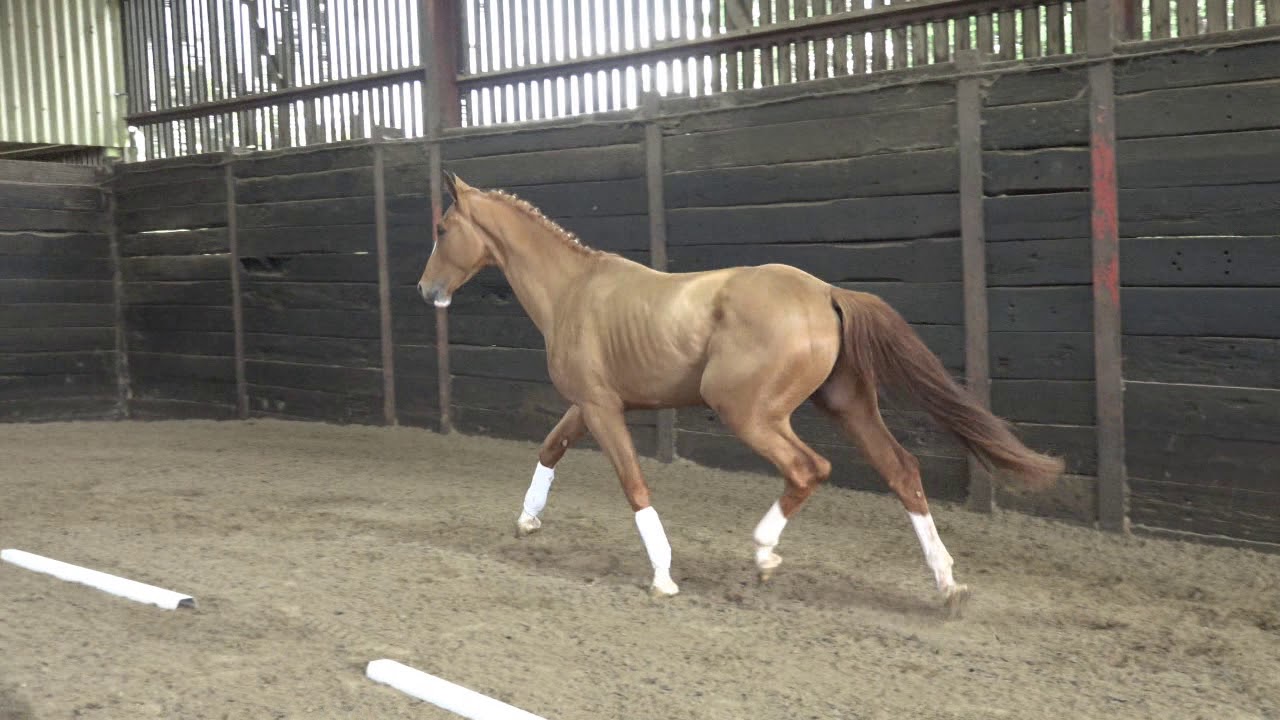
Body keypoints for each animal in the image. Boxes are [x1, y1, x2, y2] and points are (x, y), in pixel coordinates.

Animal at [417, 172, 1063, 616]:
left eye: (442, 230)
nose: (426, 290)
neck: (573, 290)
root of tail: (826, 293)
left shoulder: (602, 408)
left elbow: (633, 484)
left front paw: (663, 577)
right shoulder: (593, 404)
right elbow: (551, 447)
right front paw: (527, 520)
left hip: (747, 412)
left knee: (809, 468)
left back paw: (764, 554)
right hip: (847, 406)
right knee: (901, 471)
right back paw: (947, 584)